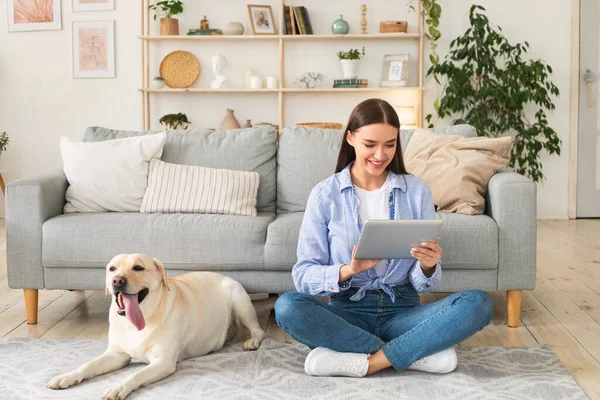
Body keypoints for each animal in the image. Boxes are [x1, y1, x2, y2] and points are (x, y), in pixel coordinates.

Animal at [44, 255, 264, 398]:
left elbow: (136, 374)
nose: (117, 280)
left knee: (258, 330)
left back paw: (252, 341)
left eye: (138, 268)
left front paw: (118, 387)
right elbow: (87, 365)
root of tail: (226, 276)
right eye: (112, 268)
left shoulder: (163, 362)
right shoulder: (116, 355)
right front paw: (67, 376)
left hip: (238, 299)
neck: (138, 321)